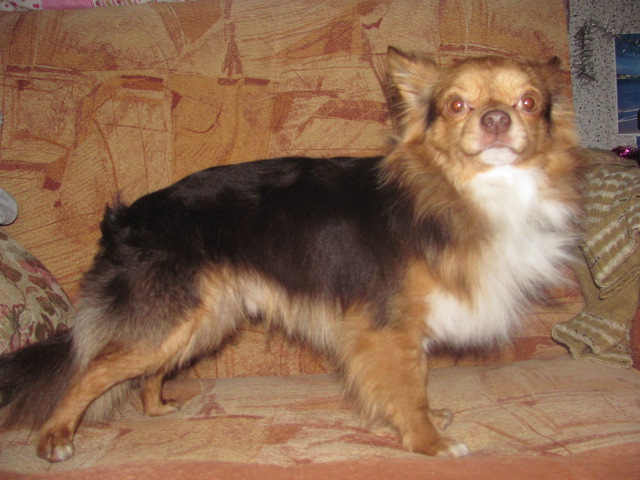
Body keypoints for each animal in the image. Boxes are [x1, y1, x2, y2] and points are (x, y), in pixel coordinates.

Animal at [0, 47, 582, 462]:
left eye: (529, 103)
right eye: (457, 105)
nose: (496, 119)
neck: (461, 190)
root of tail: (129, 217)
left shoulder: (403, 328)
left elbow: (416, 380)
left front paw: (430, 420)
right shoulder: (388, 325)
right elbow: (408, 387)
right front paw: (429, 442)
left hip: (201, 319)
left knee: (144, 372)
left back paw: (158, 409)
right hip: (173, 318)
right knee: (90, 369)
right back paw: (55, 438)